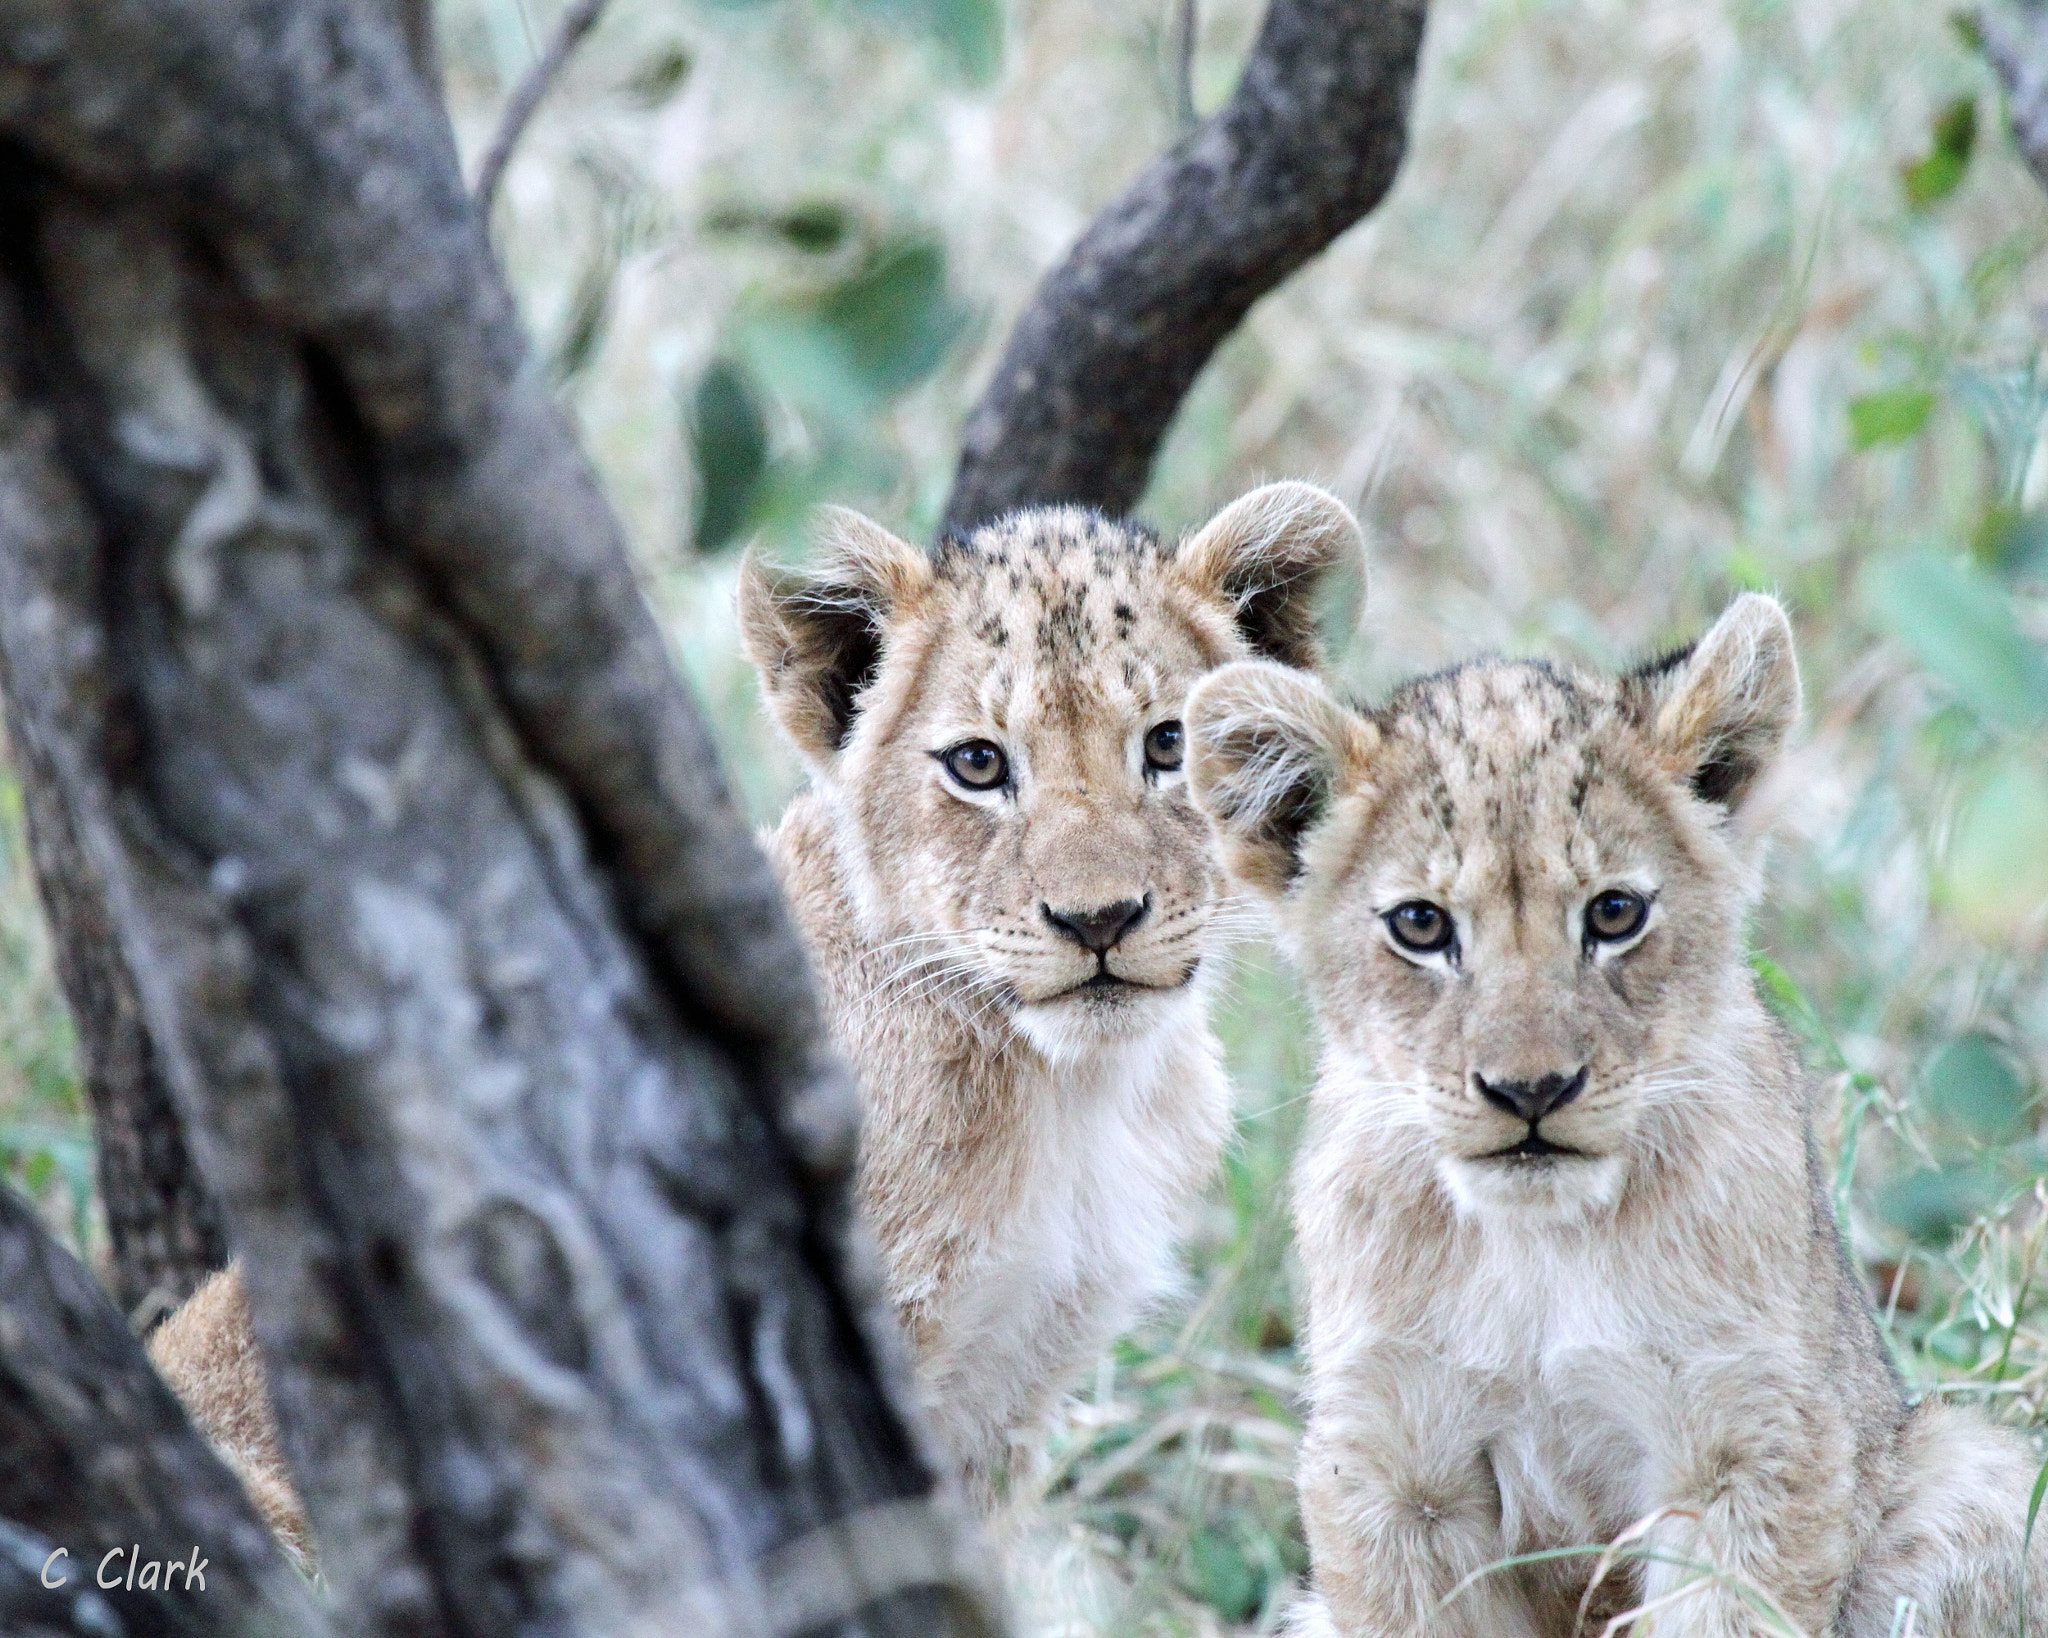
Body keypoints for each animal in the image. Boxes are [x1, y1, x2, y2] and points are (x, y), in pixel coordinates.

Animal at [1183, 593, 2047, 1636]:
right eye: (1422, 925)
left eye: (1615, 913)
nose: (1531, 1092)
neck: (1538, 1249)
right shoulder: (1390, 1463)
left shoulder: (1751, 1444)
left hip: (1977, 1477)